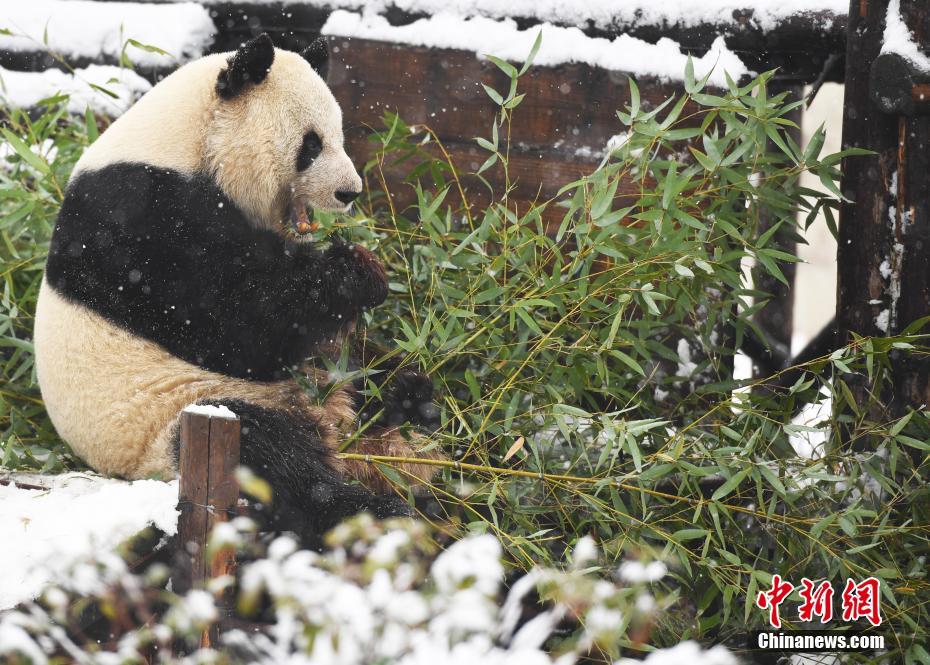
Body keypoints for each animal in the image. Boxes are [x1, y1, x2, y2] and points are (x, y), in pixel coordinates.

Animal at [35, 32, 442, 540]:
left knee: (369, 372)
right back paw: (371, 509)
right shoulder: (139, 218)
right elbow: (236, 324)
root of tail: (328, 419)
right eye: (311, 144)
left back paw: (411, 400)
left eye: (341, 137)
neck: (187, 140)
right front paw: (358, 271)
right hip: (176, 418)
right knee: (269, 456)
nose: (348, 192)